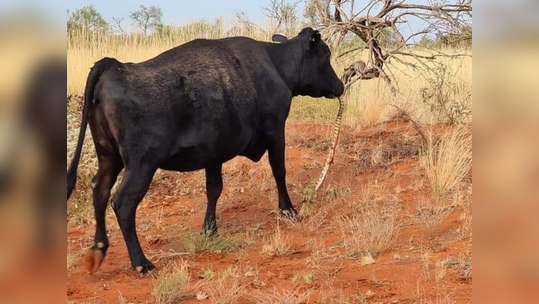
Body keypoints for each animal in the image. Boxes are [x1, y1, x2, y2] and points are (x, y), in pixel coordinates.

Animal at [67, 29, 344, 276]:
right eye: (326, 54)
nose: (340, 86)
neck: (276, 64)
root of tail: (115, 66)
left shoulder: (214, 153)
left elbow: (214, 189)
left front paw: (209, 229)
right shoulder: (276, 131)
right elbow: (279, 170)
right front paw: (288, 210)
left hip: (109, 157)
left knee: (99, 190)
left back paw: (99, 249)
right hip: (141, 165)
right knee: (123, 203)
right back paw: (142, 263)